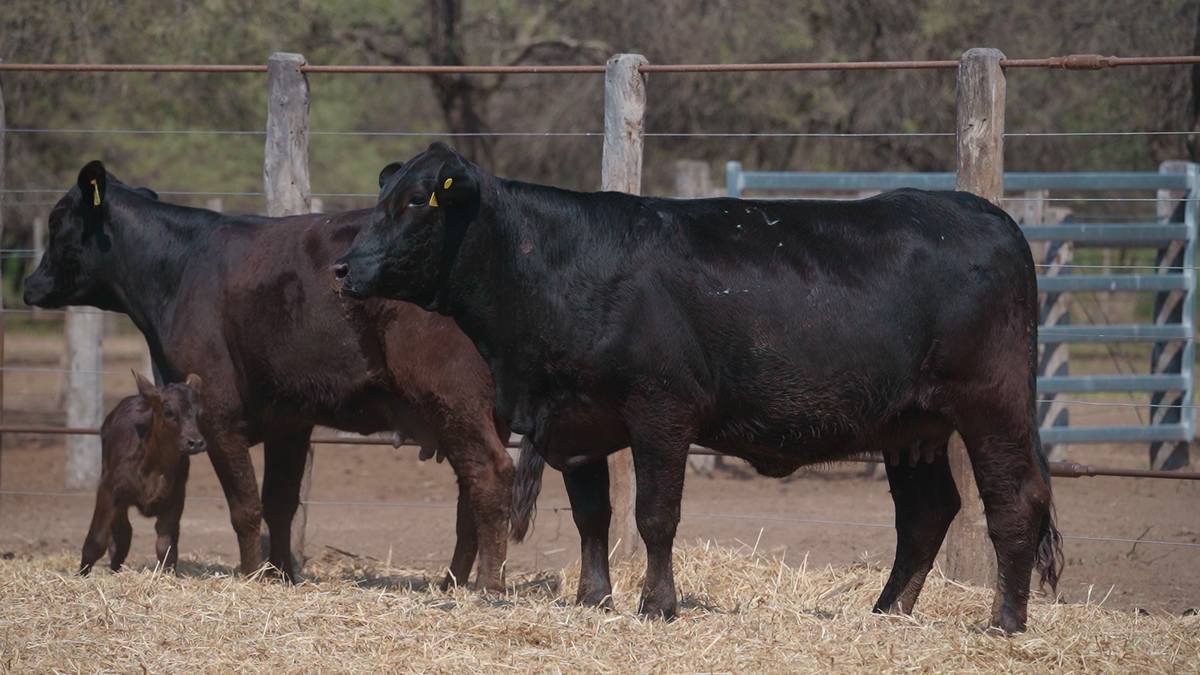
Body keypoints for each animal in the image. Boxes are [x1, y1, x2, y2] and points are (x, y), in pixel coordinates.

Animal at [80, 371, 205, 575]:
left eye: (200, 413)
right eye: (169, 412)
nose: (196, 442)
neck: (155, 466)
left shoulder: (176, 498)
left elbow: (166, 546)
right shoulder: (108, 490)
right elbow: (95, 541)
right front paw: (82, 575)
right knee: (121, 536)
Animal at [334, 142, 1064, 633]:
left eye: (413, 203)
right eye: (383, 198)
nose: (343, 267)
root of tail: (984, 213)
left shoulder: (662, 410)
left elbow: (654, 515)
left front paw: (657, 604)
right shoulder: (576, 418)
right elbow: (593, 513)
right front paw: (593, 597)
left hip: (991, 403)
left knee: (1013, 499)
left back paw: (1003, 621)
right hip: (912, 424)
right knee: (926, 511)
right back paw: (886, 611)